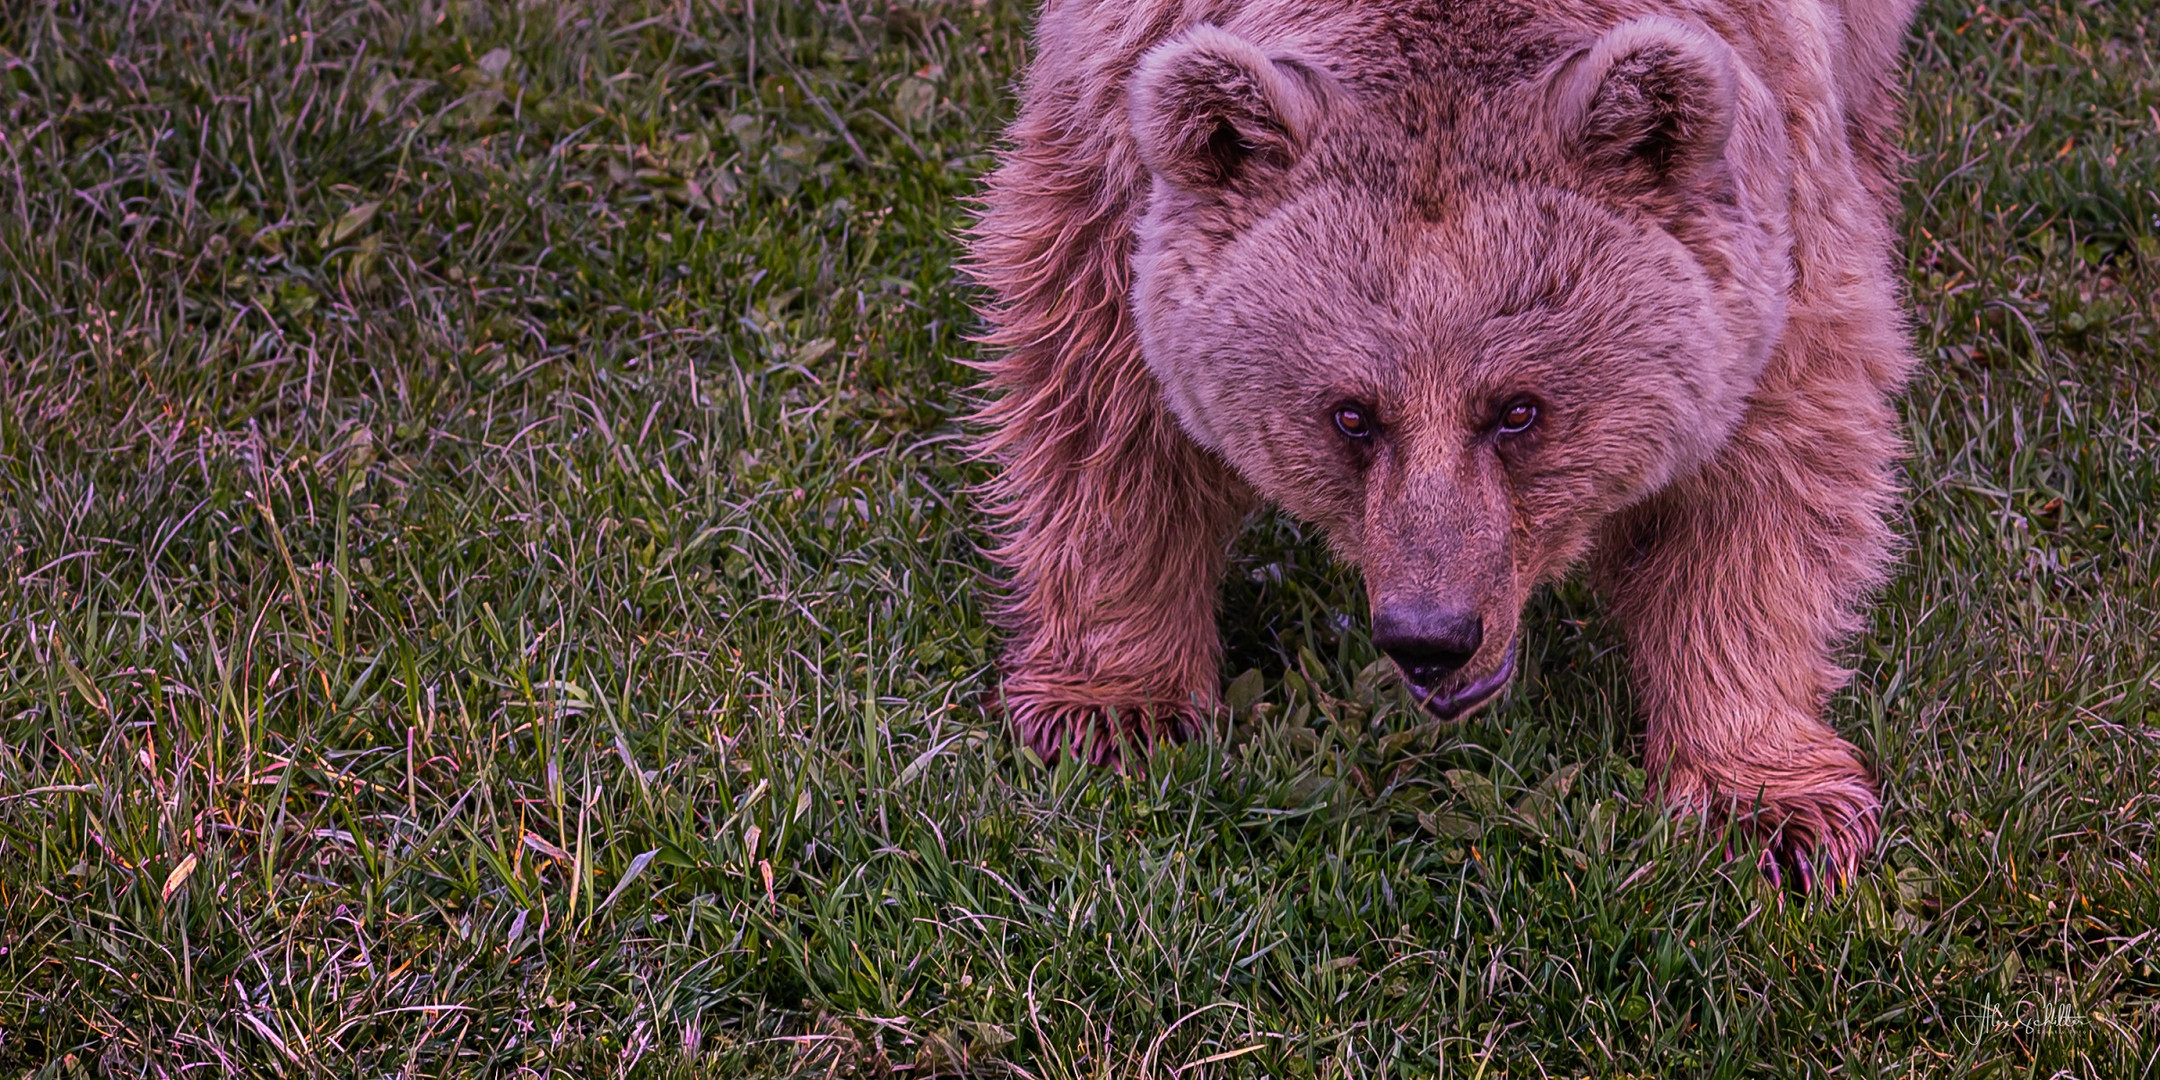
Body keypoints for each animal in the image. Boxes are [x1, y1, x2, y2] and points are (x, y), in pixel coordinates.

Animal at [972, 0, 1918, 885]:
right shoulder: (1110, 124)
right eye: (1352, 414)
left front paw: (1767, 808)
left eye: (1519, 411)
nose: (1432, 637)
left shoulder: (1777, 206)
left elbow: (1768, 468)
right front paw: (1111, 707)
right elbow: (1101, 395)